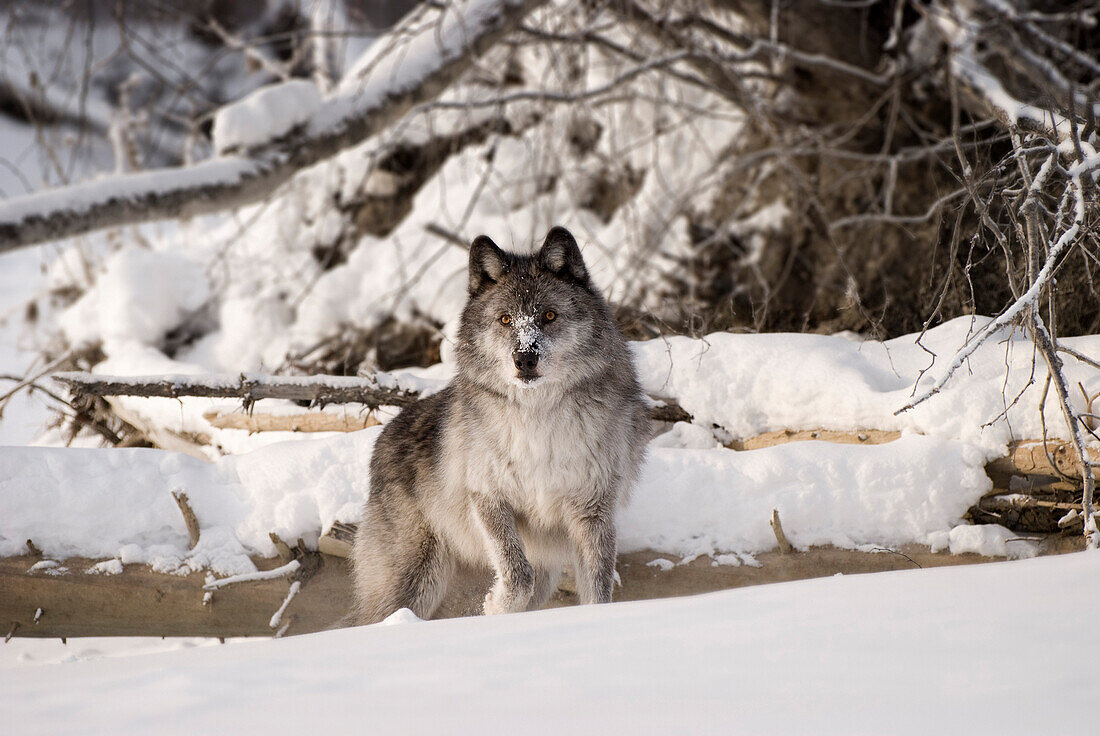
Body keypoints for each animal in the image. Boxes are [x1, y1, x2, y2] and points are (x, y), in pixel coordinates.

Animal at [347, 226, 646, 624]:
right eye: (505, 319)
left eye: (549, 315)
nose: (525, 358)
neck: (538, 420)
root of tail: (380, 442)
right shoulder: (488, 498)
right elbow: (517, 573)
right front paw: (495, 608)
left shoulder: (593, 510)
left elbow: (598, 590)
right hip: (416, 581)